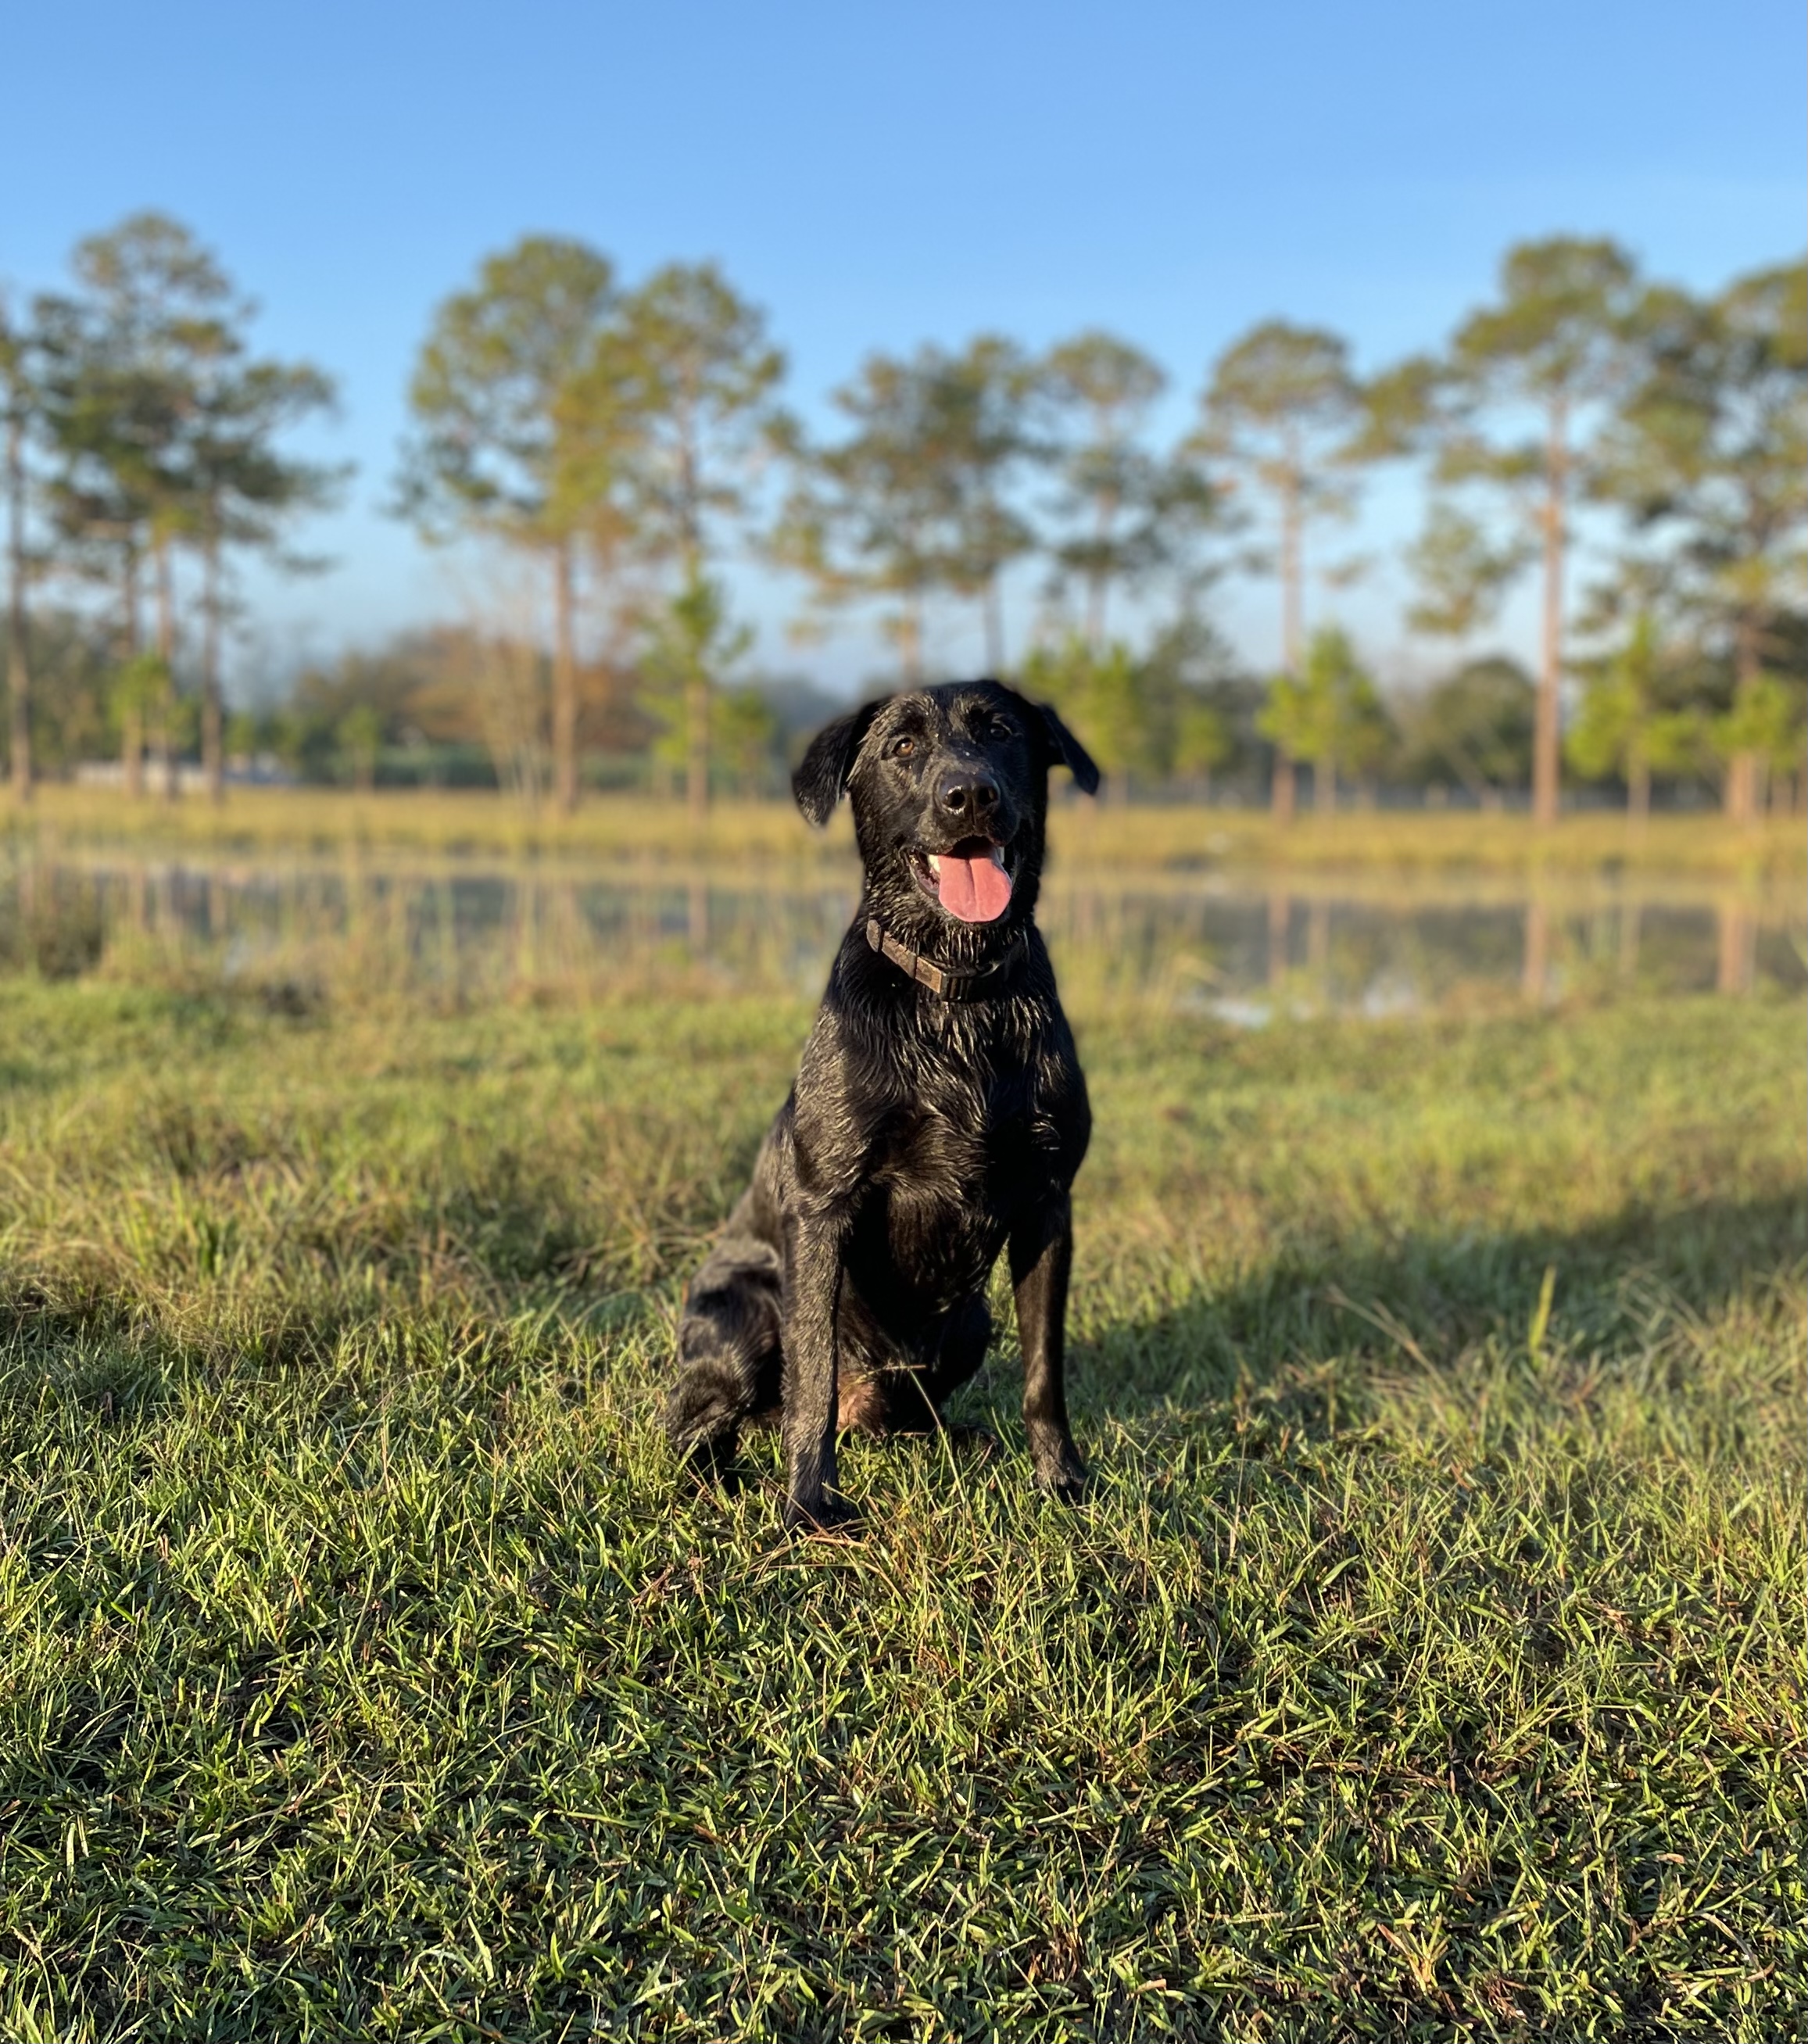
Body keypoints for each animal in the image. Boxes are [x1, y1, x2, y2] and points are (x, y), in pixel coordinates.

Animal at [657, 678, 1094, 1529]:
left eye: (1001, 732)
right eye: (902, 747)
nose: (969, 795)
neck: (959, 997)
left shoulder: (1048, 1204)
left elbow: (1044, 1372)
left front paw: (1060, 1478)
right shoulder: (825, 1206)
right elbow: (812, 1377)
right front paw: (808, 1505)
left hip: (970, 1321)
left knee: (906, 1415)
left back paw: (962, 1440)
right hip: (745, 1313)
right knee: (699, 1422)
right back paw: (723, 1474)